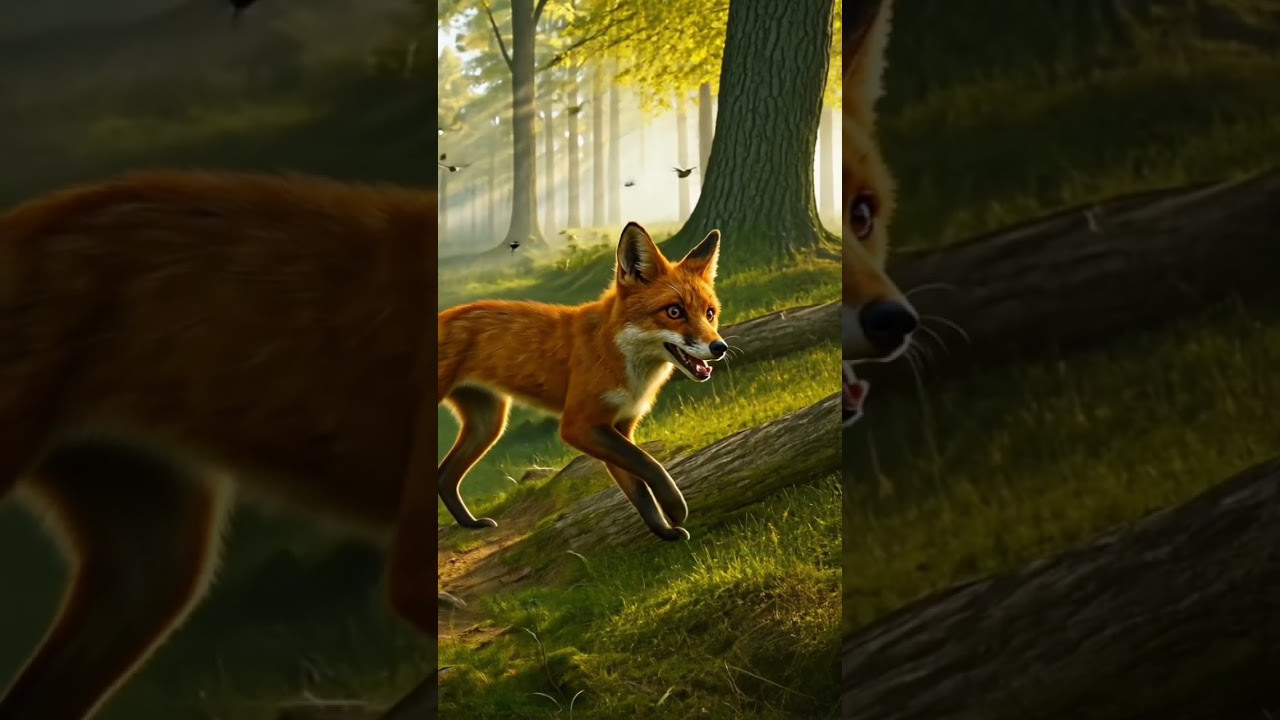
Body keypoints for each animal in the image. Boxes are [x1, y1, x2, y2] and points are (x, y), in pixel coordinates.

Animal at [437, 222, 725, 543]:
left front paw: (664, 531)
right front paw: (675, 507)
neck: (616, 355)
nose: (720, 347)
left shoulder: (618, 426)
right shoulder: (579, 426)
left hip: (488, 425)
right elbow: (649, 464)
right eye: (674, 311)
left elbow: (638, 487)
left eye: (709, 314)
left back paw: (470, 524)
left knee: (444, 476)